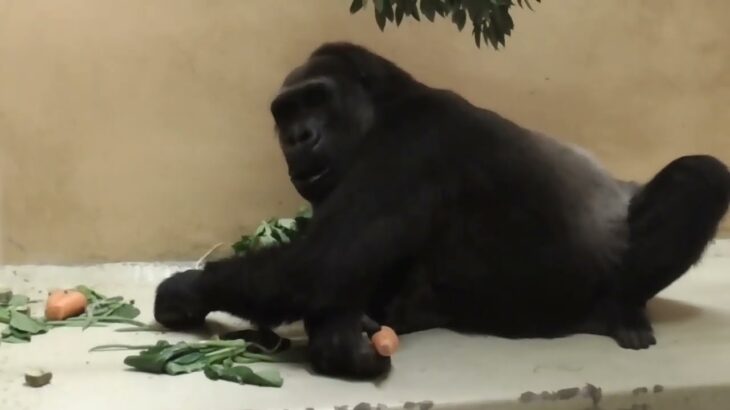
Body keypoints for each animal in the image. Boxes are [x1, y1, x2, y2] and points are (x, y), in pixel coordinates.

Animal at [155, 41, 728, 378]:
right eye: (286, 112)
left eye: (316, 100)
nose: (297, 137)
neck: (387, 106)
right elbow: (336, 274)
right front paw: (343, 334)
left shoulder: (413, 142)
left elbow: (317, 265)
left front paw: (186, 290)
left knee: (702, 177)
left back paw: (619, 308)